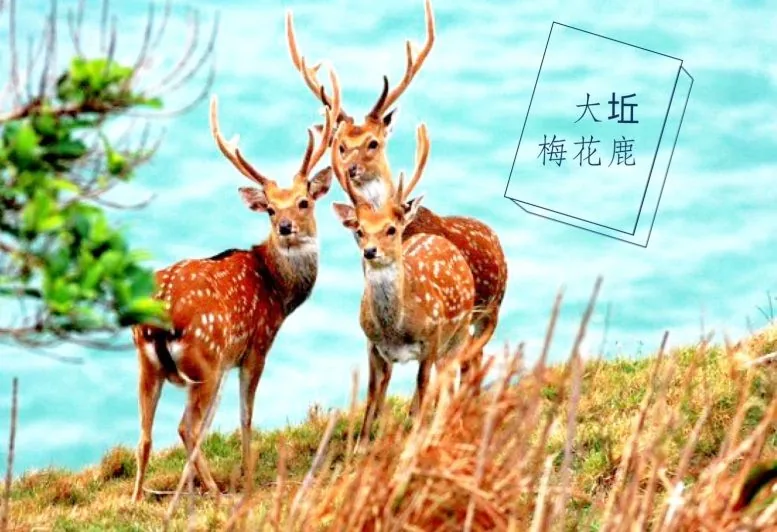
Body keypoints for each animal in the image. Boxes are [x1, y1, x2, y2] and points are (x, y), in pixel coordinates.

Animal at [130, 71, 341, 502]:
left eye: (304, 201)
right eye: (271, 209)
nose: (286, 227)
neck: (278, 291)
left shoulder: (229, 360)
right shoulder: (256, 345)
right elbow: (246, 416)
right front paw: (247, 475)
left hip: (148, 365)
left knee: (144, 436)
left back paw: (138, 497)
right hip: (204, 358)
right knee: (185, 427)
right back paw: (214, 490)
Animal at [331, 125, 494, 447]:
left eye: (391, 229)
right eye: (360, 230)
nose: (370, 251)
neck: (395, 328)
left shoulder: (431, 340)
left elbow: (422, 389)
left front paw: (415, 438)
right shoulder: (372, 344)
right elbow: (372, 395)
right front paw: (361, 446)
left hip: (459, 331)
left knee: (454, 372)